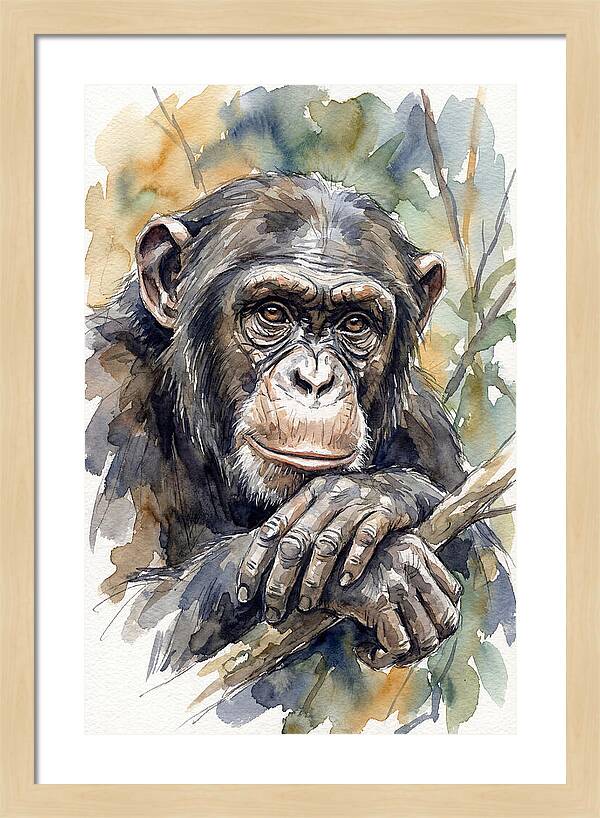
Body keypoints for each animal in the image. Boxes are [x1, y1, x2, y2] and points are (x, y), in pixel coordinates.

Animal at [86, 172, 512, 672]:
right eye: (272, 312)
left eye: (355, 323)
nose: (314, 379)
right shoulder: (107, 396)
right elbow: (123, 621)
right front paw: (384, 570)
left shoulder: (425, 425)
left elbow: (495, 586)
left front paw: (367, 498)